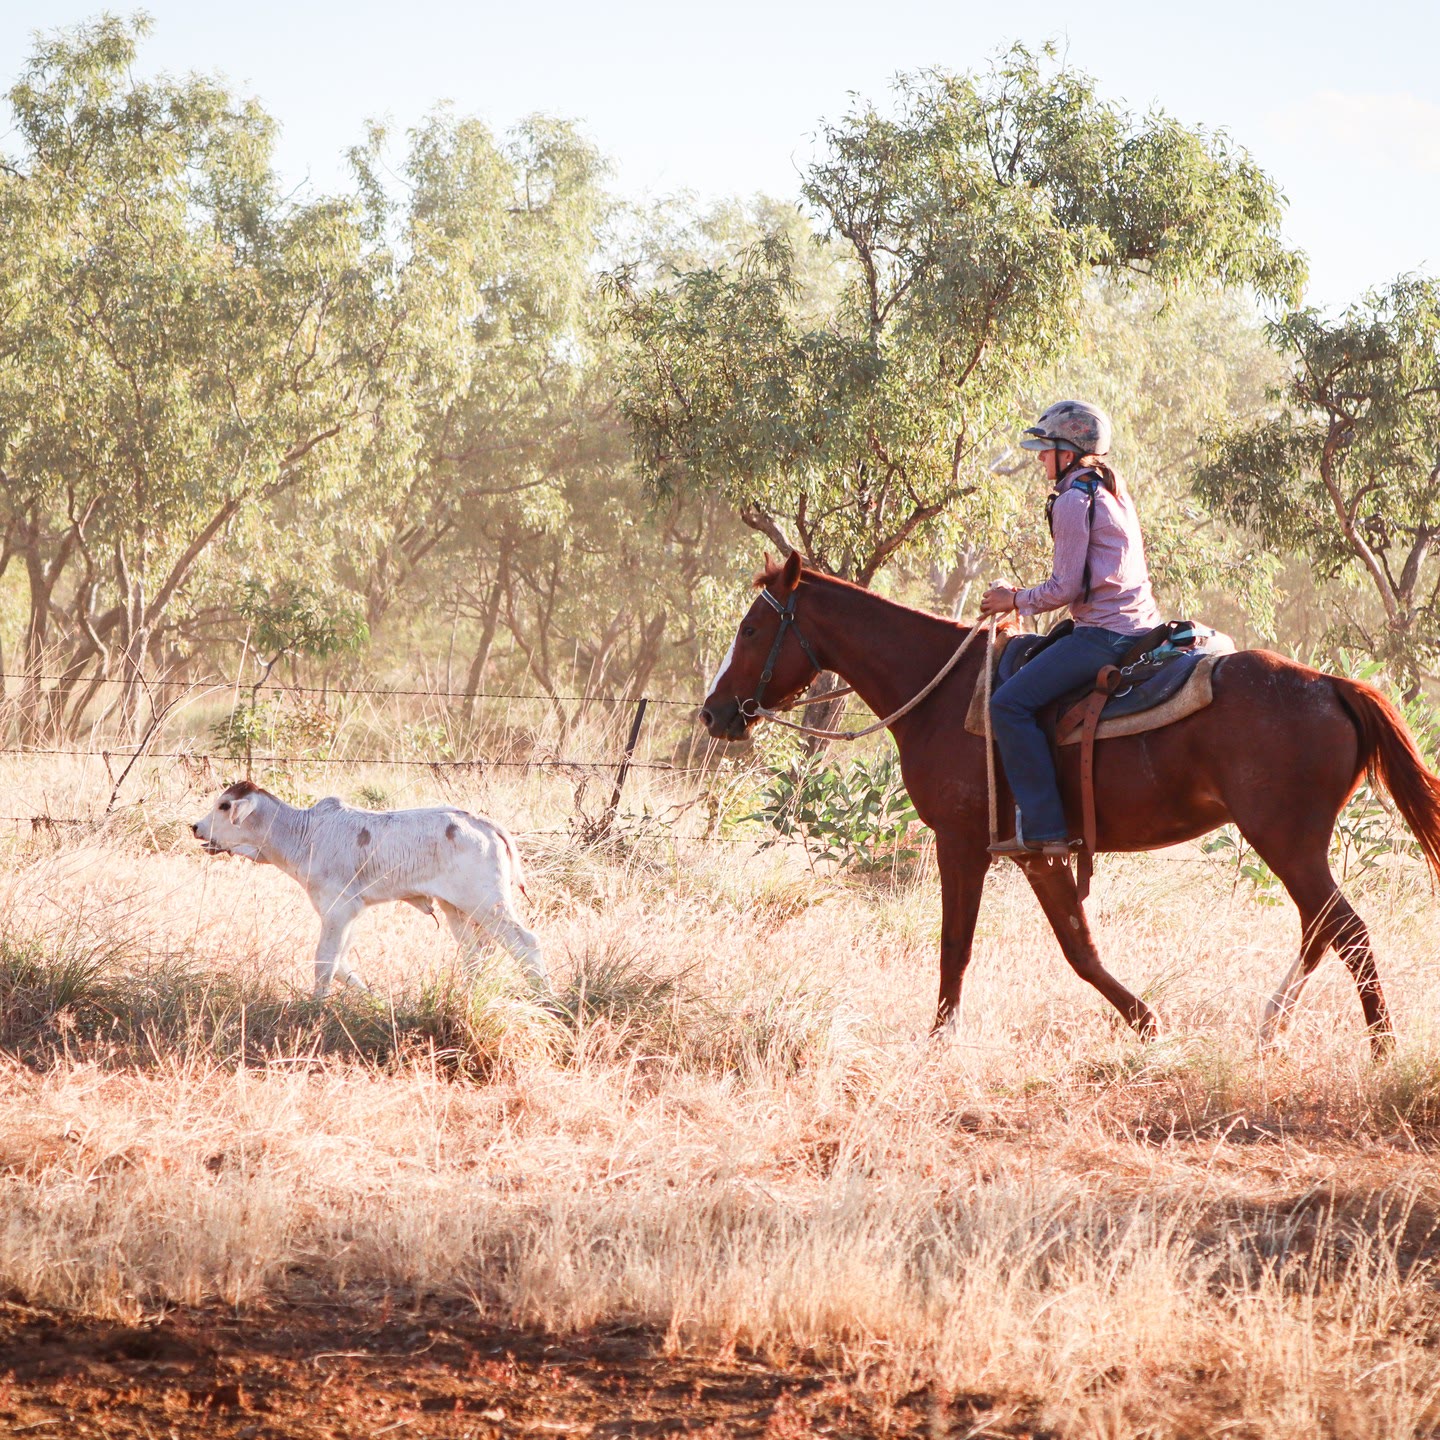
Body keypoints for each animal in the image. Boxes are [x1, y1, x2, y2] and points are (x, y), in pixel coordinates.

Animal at [192, 780, 547, 998]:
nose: (195, 826)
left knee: (526, 944)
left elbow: (325, 963)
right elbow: (340, 965)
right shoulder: (349, 912)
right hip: (457, 908)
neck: (303, 835)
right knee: (476, 955)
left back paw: (547, 1001)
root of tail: (487, 825)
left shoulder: (338, 909)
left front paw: (314, 1007)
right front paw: (375, 1000)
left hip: (488, 904)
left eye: (224, 806)